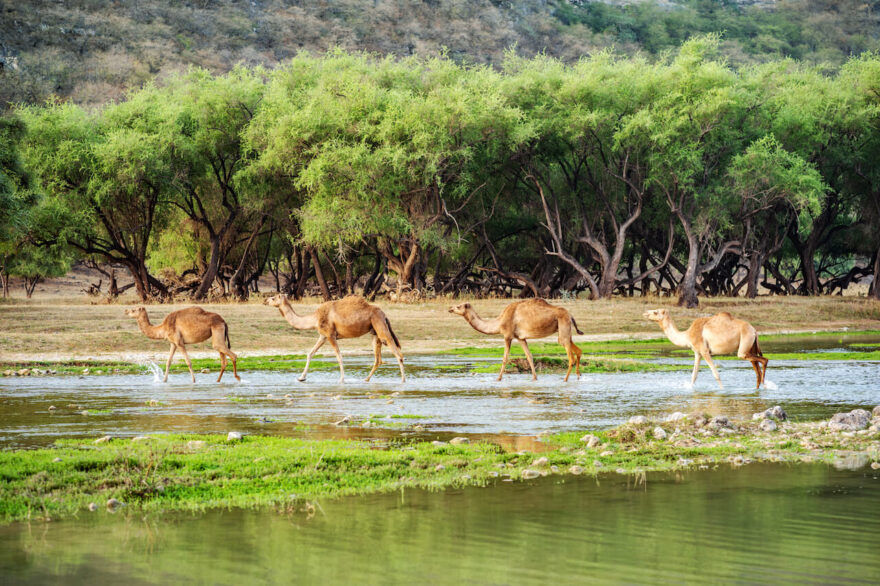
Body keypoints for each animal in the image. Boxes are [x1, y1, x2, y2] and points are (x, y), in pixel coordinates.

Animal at [264, 292, 406, 384]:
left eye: (273, 298)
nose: (264, 301)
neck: (314, 318)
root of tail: (384, 314)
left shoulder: (330, 335)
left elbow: (339, 356)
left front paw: (342, 379)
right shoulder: (323, 335)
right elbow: (310, 353)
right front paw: (301, 378)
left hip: (380, 327)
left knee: (398, 353)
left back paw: (403, 380)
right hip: (374, 332)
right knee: (378, 359)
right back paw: (366, 379)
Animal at [446, 298, 584, 380]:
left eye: (459, 306)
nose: (450, 308)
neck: (499, 322)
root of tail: (570, 315)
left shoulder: (507, 335)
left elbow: (505, 358)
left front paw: (498, 379)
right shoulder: (520, 338)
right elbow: (529, 356)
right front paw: (535, 378)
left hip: (563, 327)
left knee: (570, 356)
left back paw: (565, 380)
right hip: (566, 330)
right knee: (578, 350)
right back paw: (578, 375)